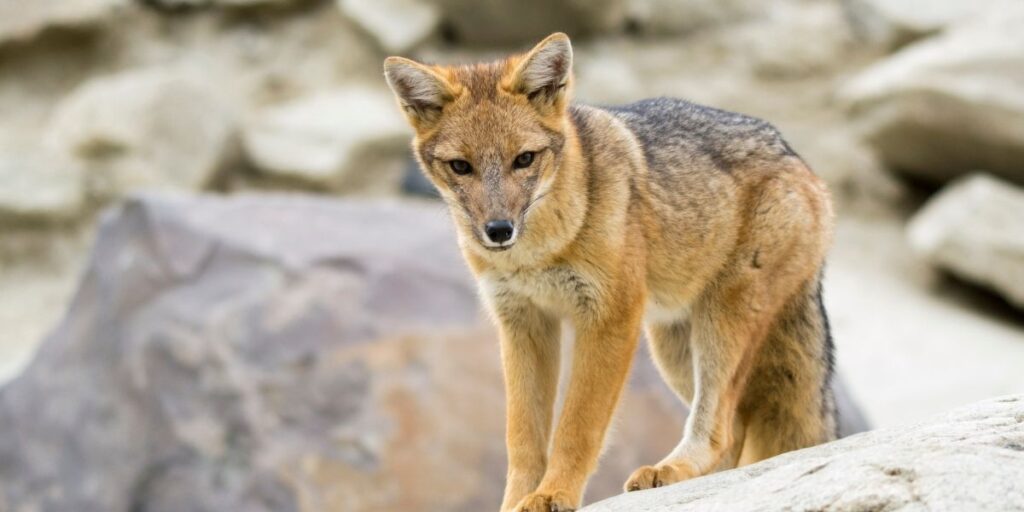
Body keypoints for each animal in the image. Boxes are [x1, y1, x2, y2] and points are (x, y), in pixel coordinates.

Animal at [383, 33, 837, 512]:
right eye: (461, 166)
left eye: (524, 159)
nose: (499, 230)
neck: (537, 254)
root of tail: (796, 157)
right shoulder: (523, 323)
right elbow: (522, 437)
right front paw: (518, 501)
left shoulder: (609, 319)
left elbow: (577, 427)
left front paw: (555, 494)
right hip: (673, 348)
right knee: (733, 430)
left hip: (719, 327)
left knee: (718, 428)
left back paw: (669, 470)